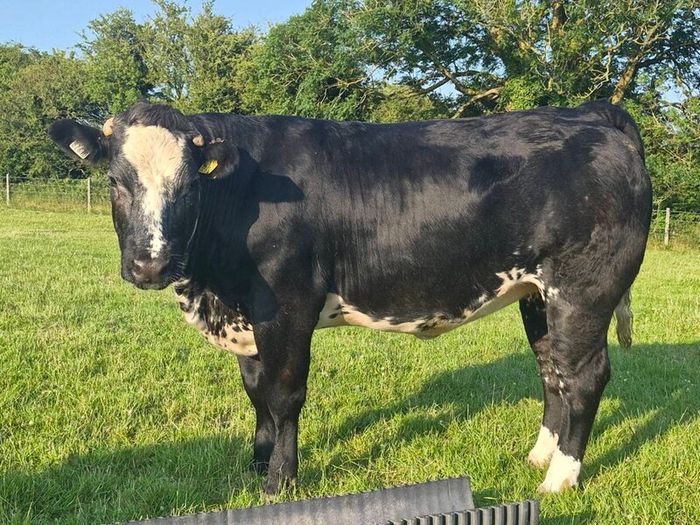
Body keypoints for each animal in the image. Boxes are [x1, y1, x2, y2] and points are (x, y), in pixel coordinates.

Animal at [48, 100, 651, 495]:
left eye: (189, 184)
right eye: (115, 181)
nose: (150, 265)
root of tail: (590, 113)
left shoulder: (287, 303)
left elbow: (284, 395)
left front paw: (279, 482)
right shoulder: (249, 315)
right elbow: (256, 393)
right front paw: (255, 464)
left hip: (584, 289)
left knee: (585, 376)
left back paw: (559, 479)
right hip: (537, 295)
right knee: (553, 370)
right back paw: (538, 456)